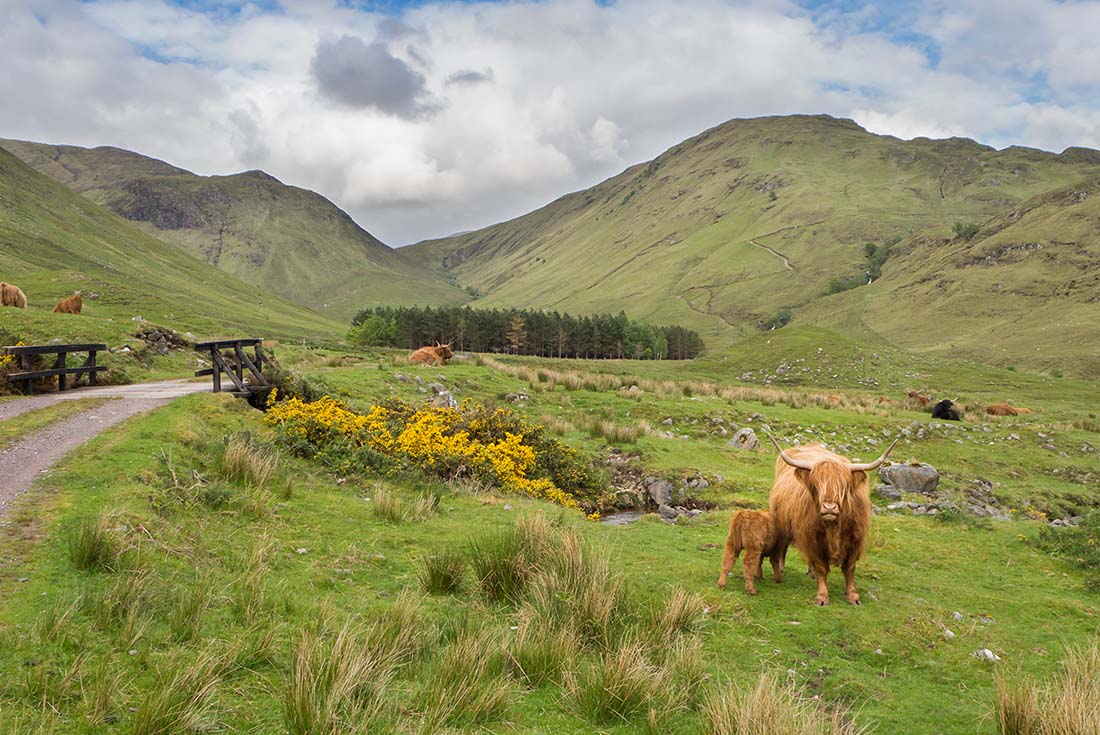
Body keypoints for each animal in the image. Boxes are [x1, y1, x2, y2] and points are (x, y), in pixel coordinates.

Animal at [766, 433, 898, 606]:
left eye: (843, 487)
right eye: (816, 486)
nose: (829, 508)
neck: (834, 528)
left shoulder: (855, 540)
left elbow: (849, 568)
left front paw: (853, 596)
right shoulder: (813, 540)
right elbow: (822, 568)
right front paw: (822, 597)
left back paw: (811, 573)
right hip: (782, 523)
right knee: (783, 547)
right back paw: (781, 569)